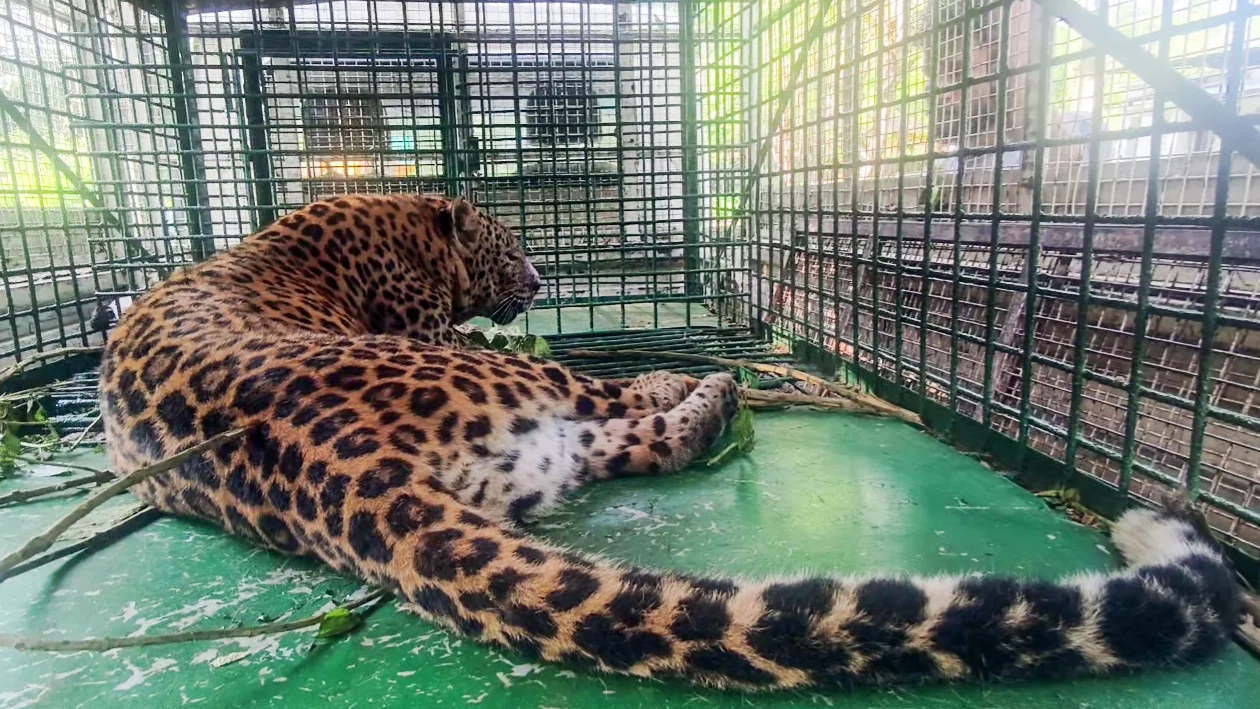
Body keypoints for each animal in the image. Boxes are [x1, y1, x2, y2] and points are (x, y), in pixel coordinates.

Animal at [99, 193, 1239, 690]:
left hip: (518, 453)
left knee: (622, 444)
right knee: (617, 408)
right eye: (511, 246)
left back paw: (709, 396)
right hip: (517, 385)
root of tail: (340, 469)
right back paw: (708, 385)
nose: (540, 279)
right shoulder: (433, 326)